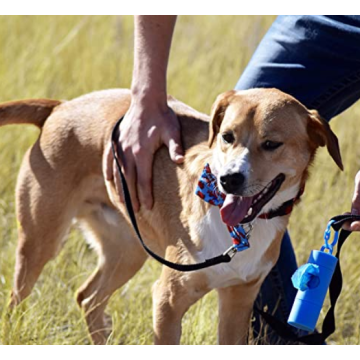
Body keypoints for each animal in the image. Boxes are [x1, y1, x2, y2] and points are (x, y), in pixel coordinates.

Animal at [0, 88, 344, 344]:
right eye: (227, 136)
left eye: (272, 144)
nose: (228, 180)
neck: (241, 229)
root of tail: (61, 107)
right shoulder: (167, 301)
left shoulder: (238, 301)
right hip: (40, 242)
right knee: (17, 299)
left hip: (127, 252)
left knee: (88, 298)